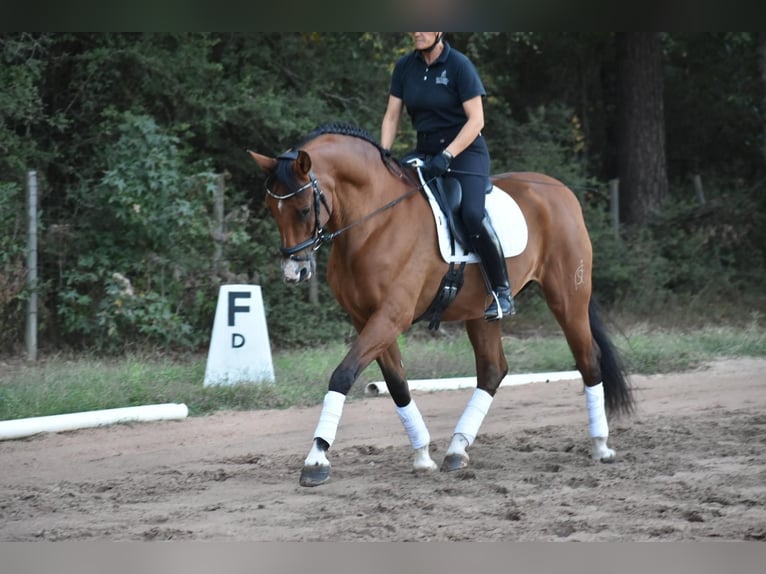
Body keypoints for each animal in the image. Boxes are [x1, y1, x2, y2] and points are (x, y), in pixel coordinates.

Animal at [249, 120, 632, 486]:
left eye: (302, 210)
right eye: (271, 209)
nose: (294, 271)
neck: (374, 222)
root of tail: (560, 190)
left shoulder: (392, 316)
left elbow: (343, 374)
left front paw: (316, 459)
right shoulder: (366, 318)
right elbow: (397, 384)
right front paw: (422, 456)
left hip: (568, 298)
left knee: (588, 360)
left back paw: (601, 446)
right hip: (481, 313)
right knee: (493, 371)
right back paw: (457, 450)